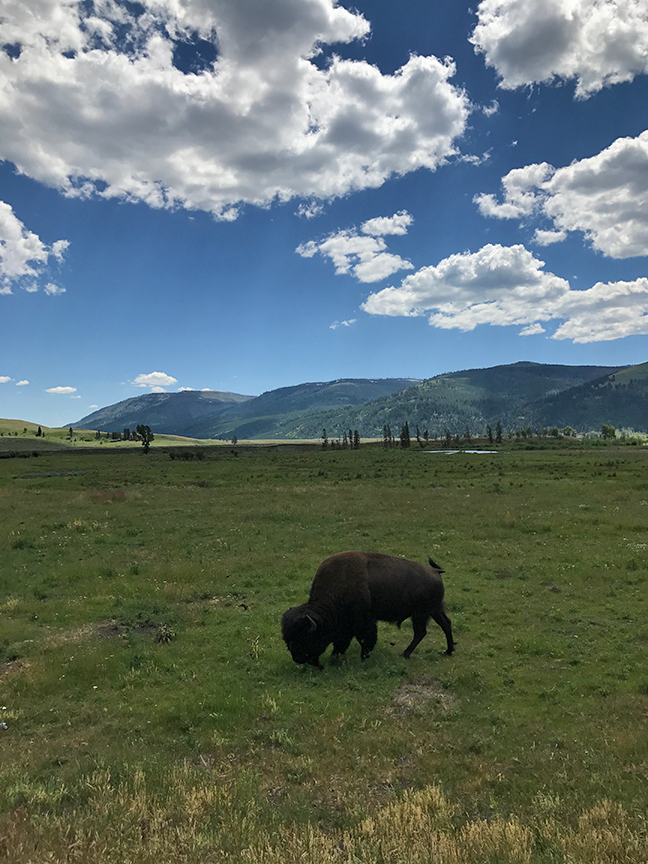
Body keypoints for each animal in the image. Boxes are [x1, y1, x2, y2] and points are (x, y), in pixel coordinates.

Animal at [280, 552, 456, 668]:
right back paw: (448, 651)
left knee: (421, 632)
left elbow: (364, 640)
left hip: (420, 614)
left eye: (304, 638)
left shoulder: (363, 622)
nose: (297, 658)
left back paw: (405, 654)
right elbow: (342, 642)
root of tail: (435, 572)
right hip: (434, 610)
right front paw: (335, 657)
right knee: (446, 624)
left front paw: (363, 658)